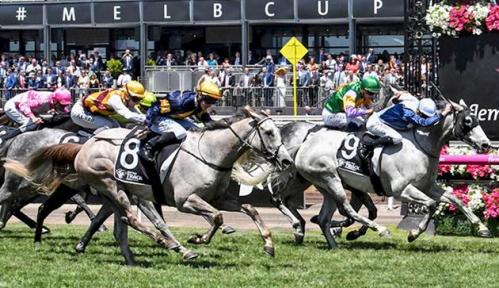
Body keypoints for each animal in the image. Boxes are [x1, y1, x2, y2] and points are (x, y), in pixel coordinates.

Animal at [5, 108, 294, 266]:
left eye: (279, 131)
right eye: (269, 133)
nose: (286, 160)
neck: (209, 153)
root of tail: (84, 145)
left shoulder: (219, 197)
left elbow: (248, 209)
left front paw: (269, 245)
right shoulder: (185, 201)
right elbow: (217, 218)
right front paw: (198, 238)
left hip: (115, 193)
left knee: (120, 225)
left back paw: (136, 257)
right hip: (112, 186)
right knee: (131, 219)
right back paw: (174, 246)